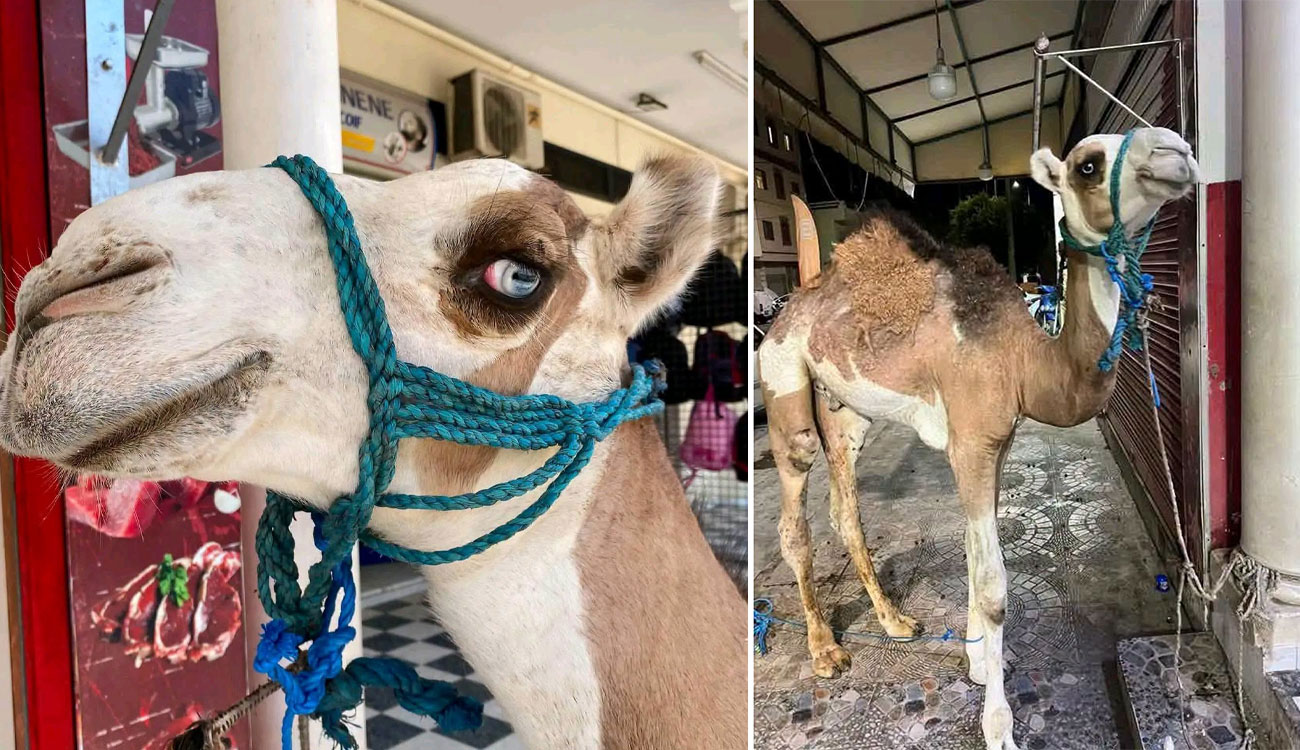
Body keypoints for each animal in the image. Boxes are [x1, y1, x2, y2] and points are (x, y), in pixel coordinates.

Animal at [757, 126, 1198, 750]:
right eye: (1088, 165)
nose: (1175, 152)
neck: (1024, 357)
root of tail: (798, 295)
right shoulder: (970, 445)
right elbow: (993, 588)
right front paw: (999, 726)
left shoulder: (998, 443)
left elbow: (971, 555)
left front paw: (981, 663)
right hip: (784, 384)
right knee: (794, 515)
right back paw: (825, 652)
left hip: (845, 411)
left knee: (845, 510)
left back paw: (895, 621)